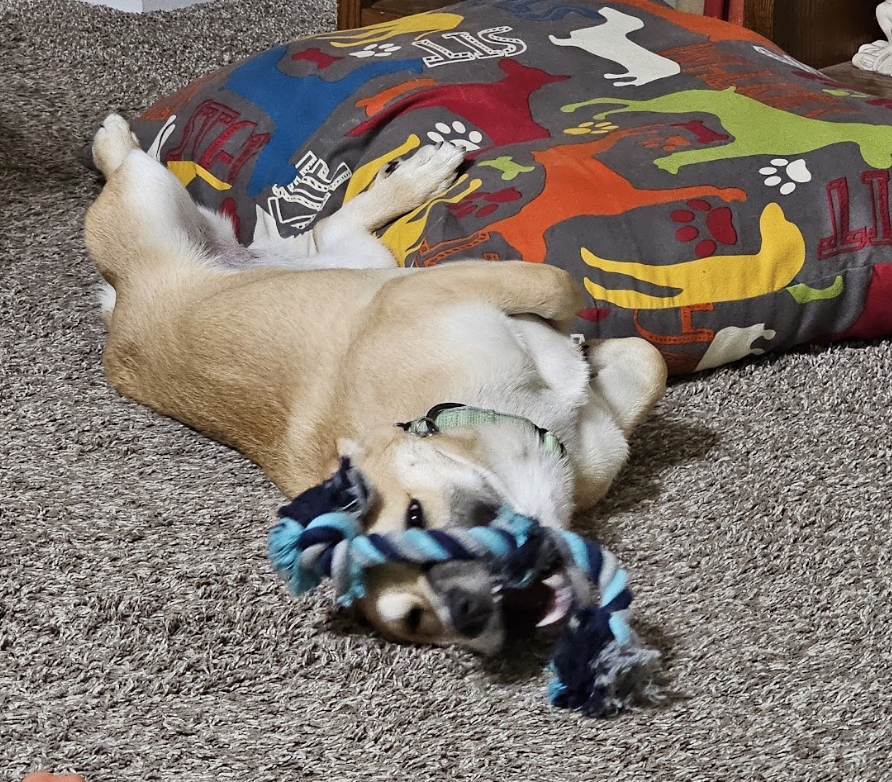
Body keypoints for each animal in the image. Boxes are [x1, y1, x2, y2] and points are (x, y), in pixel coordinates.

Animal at [85, 115, 668, 656]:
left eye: (415, 514)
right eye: (416, 620)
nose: (467, 610)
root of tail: (117, 310)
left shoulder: (442, 289)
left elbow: (579, 304)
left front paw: (584, 345)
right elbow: (636, 359)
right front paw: (590, 357)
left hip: (170, 206)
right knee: (329, 223)